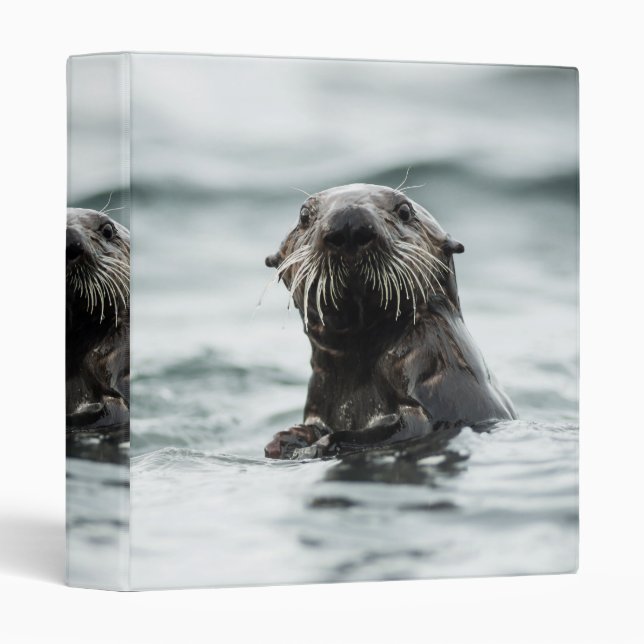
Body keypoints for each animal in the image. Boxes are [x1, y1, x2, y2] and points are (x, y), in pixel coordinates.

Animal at [264, 184, 516, 459]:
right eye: (304, 216)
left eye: (404, 211)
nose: (349, 223)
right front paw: (288, 439)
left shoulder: (436, 372)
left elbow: (406, 427)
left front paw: (317, 445)